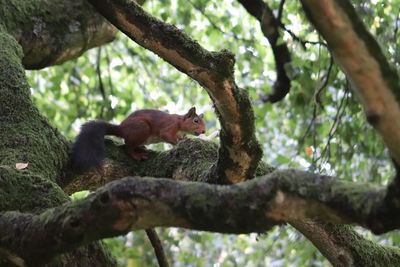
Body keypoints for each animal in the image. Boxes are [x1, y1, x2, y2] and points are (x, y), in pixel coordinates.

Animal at [70, 107, 206, 174]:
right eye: (195, 121)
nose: (204, 131)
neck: (180, 123)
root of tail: (121, 128)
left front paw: (184, 139)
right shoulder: (169, 127)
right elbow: (168, 136)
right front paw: (179, 143)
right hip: (142, 128)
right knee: (127, 147)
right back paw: (137, 155)